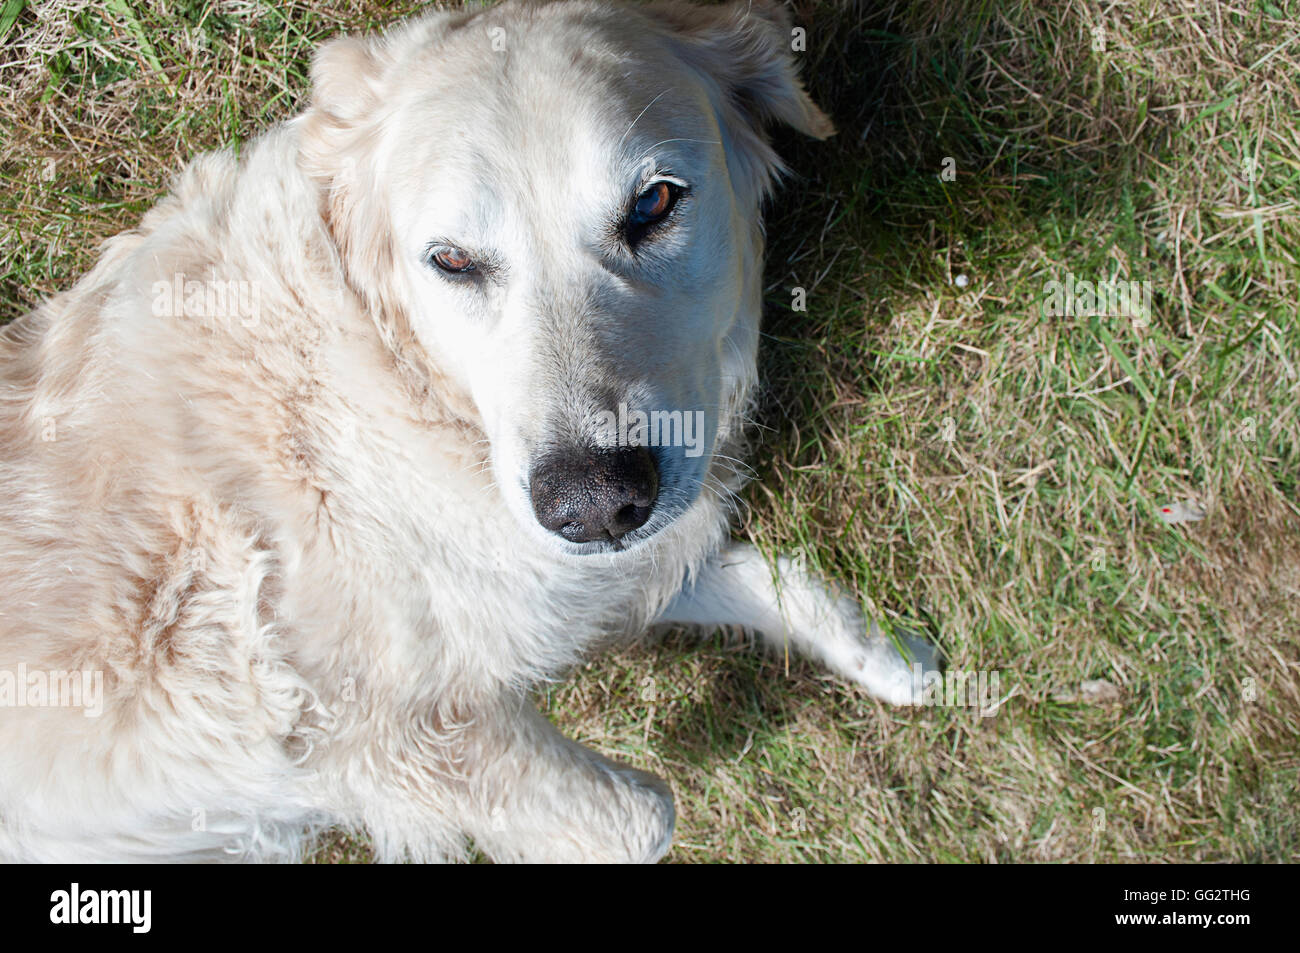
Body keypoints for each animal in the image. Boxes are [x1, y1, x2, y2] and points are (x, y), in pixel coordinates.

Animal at [0, 0, 935, 863]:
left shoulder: (565, 578)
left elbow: (763, 577)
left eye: (654, 203)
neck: (396, 381)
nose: (593, 504)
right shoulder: (370, 735)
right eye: (451, 260)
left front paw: (900, 658)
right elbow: (648, 815)